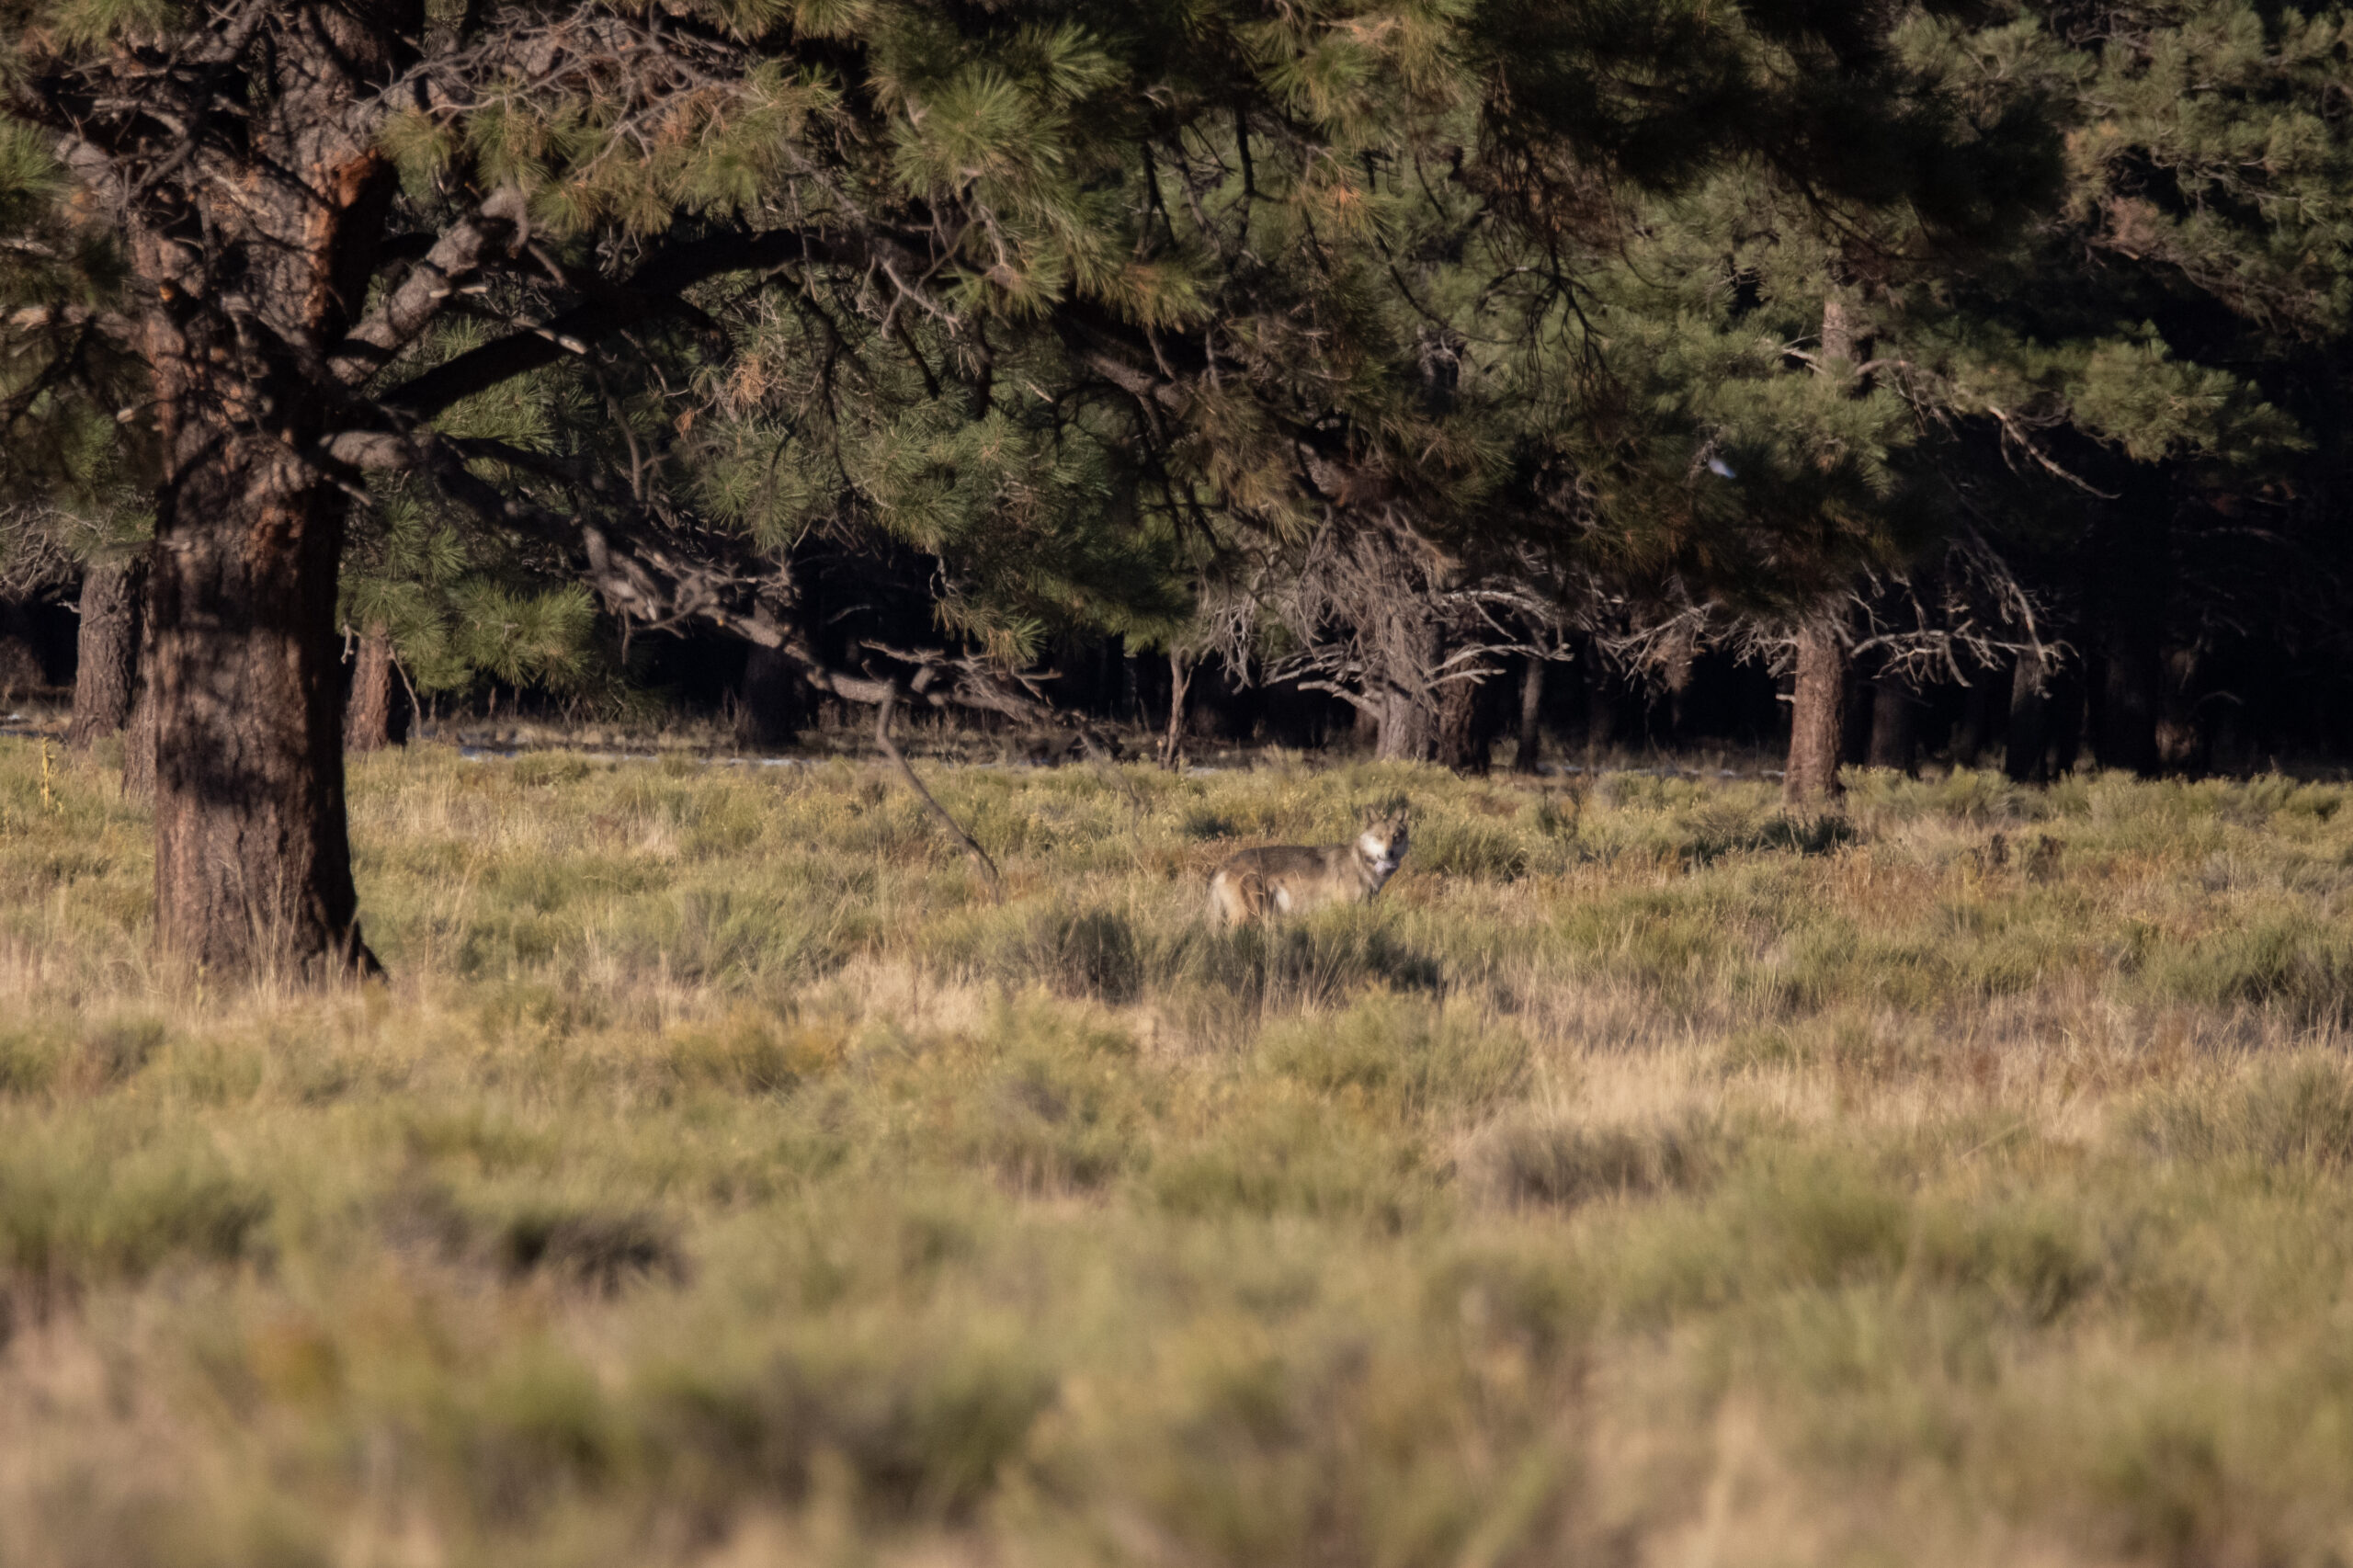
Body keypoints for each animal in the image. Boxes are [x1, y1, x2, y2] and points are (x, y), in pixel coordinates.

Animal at [1207, 800, 1411, 926]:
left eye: (1396, 837)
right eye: (1379, 837)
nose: (1390, 853)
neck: (1360, 863)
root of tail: (1222, 865)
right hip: (1249, 916)